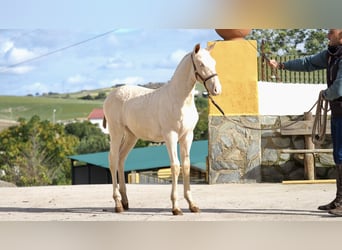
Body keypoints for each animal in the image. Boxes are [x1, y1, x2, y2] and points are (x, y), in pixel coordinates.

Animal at [102, 43, 222, 215]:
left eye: (214, 62)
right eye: (201, 64)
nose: (217, 90)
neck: (179, 99)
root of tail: (109, 96)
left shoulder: (187, 136)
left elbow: (186, 166)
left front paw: (192, 204)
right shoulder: (170, 136)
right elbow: (175, 166)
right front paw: (175, 207)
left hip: (131, 136)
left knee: (121, 160)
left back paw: (125, 202)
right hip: (116, 132)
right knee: (113, 160)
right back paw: (118, 204)